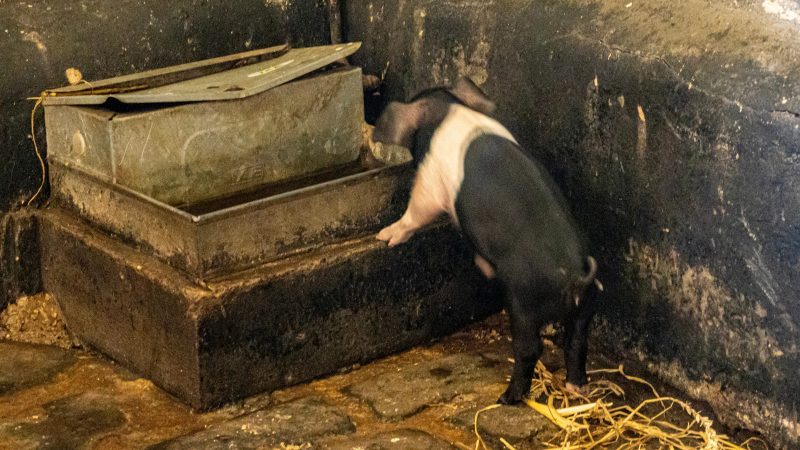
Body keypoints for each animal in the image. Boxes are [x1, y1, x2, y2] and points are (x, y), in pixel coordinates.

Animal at [371, 78, 599, 404]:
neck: (448, 110)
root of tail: (576, 277)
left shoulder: (430, 181)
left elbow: (417, 210)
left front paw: (385, 237)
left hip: (523, 301)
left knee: (530, 348)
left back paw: (507, 398)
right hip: (587, 308)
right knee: (577, 341)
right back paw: (578, 389)